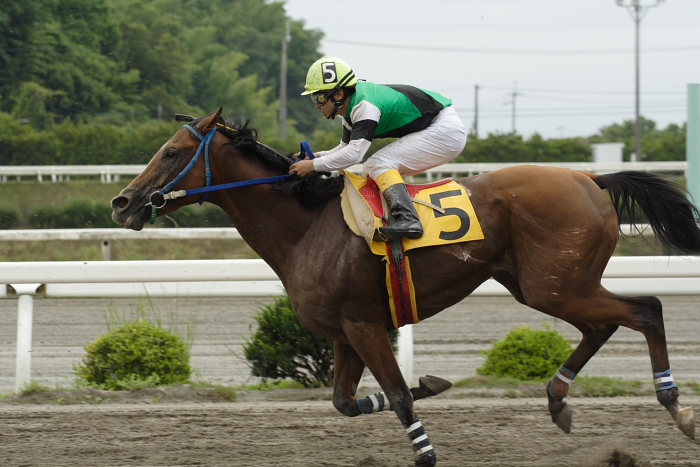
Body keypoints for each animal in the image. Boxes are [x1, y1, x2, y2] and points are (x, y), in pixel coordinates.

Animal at [110, 108, 700, 466]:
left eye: (170, 152)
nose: (122, 202)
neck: (308, 225)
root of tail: (590, 179)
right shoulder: (345, 332)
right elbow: (347, 402)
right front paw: (433, 384)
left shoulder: (365, 324)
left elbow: (395, 397)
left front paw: (426, 447)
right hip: (542, 285)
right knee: (604, 324)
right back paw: (558, 401)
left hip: (557, 284)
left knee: (646, 309)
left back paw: (678, 408)